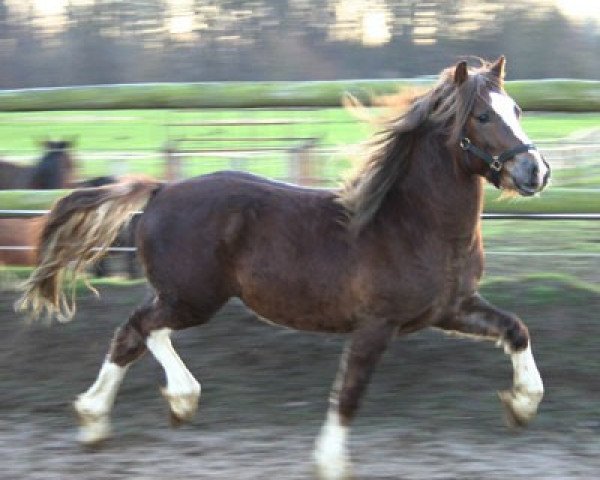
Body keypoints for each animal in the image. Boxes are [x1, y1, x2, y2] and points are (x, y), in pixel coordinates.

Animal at [18, 57, 552, 480]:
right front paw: (330, 464)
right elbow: (350, 392)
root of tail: (160, 189)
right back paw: (177, 398)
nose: (536, 171)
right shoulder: (376, 324)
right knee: (140, 327)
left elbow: (517, 329)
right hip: (194, 297)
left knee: (132, 334)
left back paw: (100, 420)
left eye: (518, 110)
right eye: (482, 115)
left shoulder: (451, 308)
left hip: (183, 295)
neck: (413, 223)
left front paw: (521, 405)